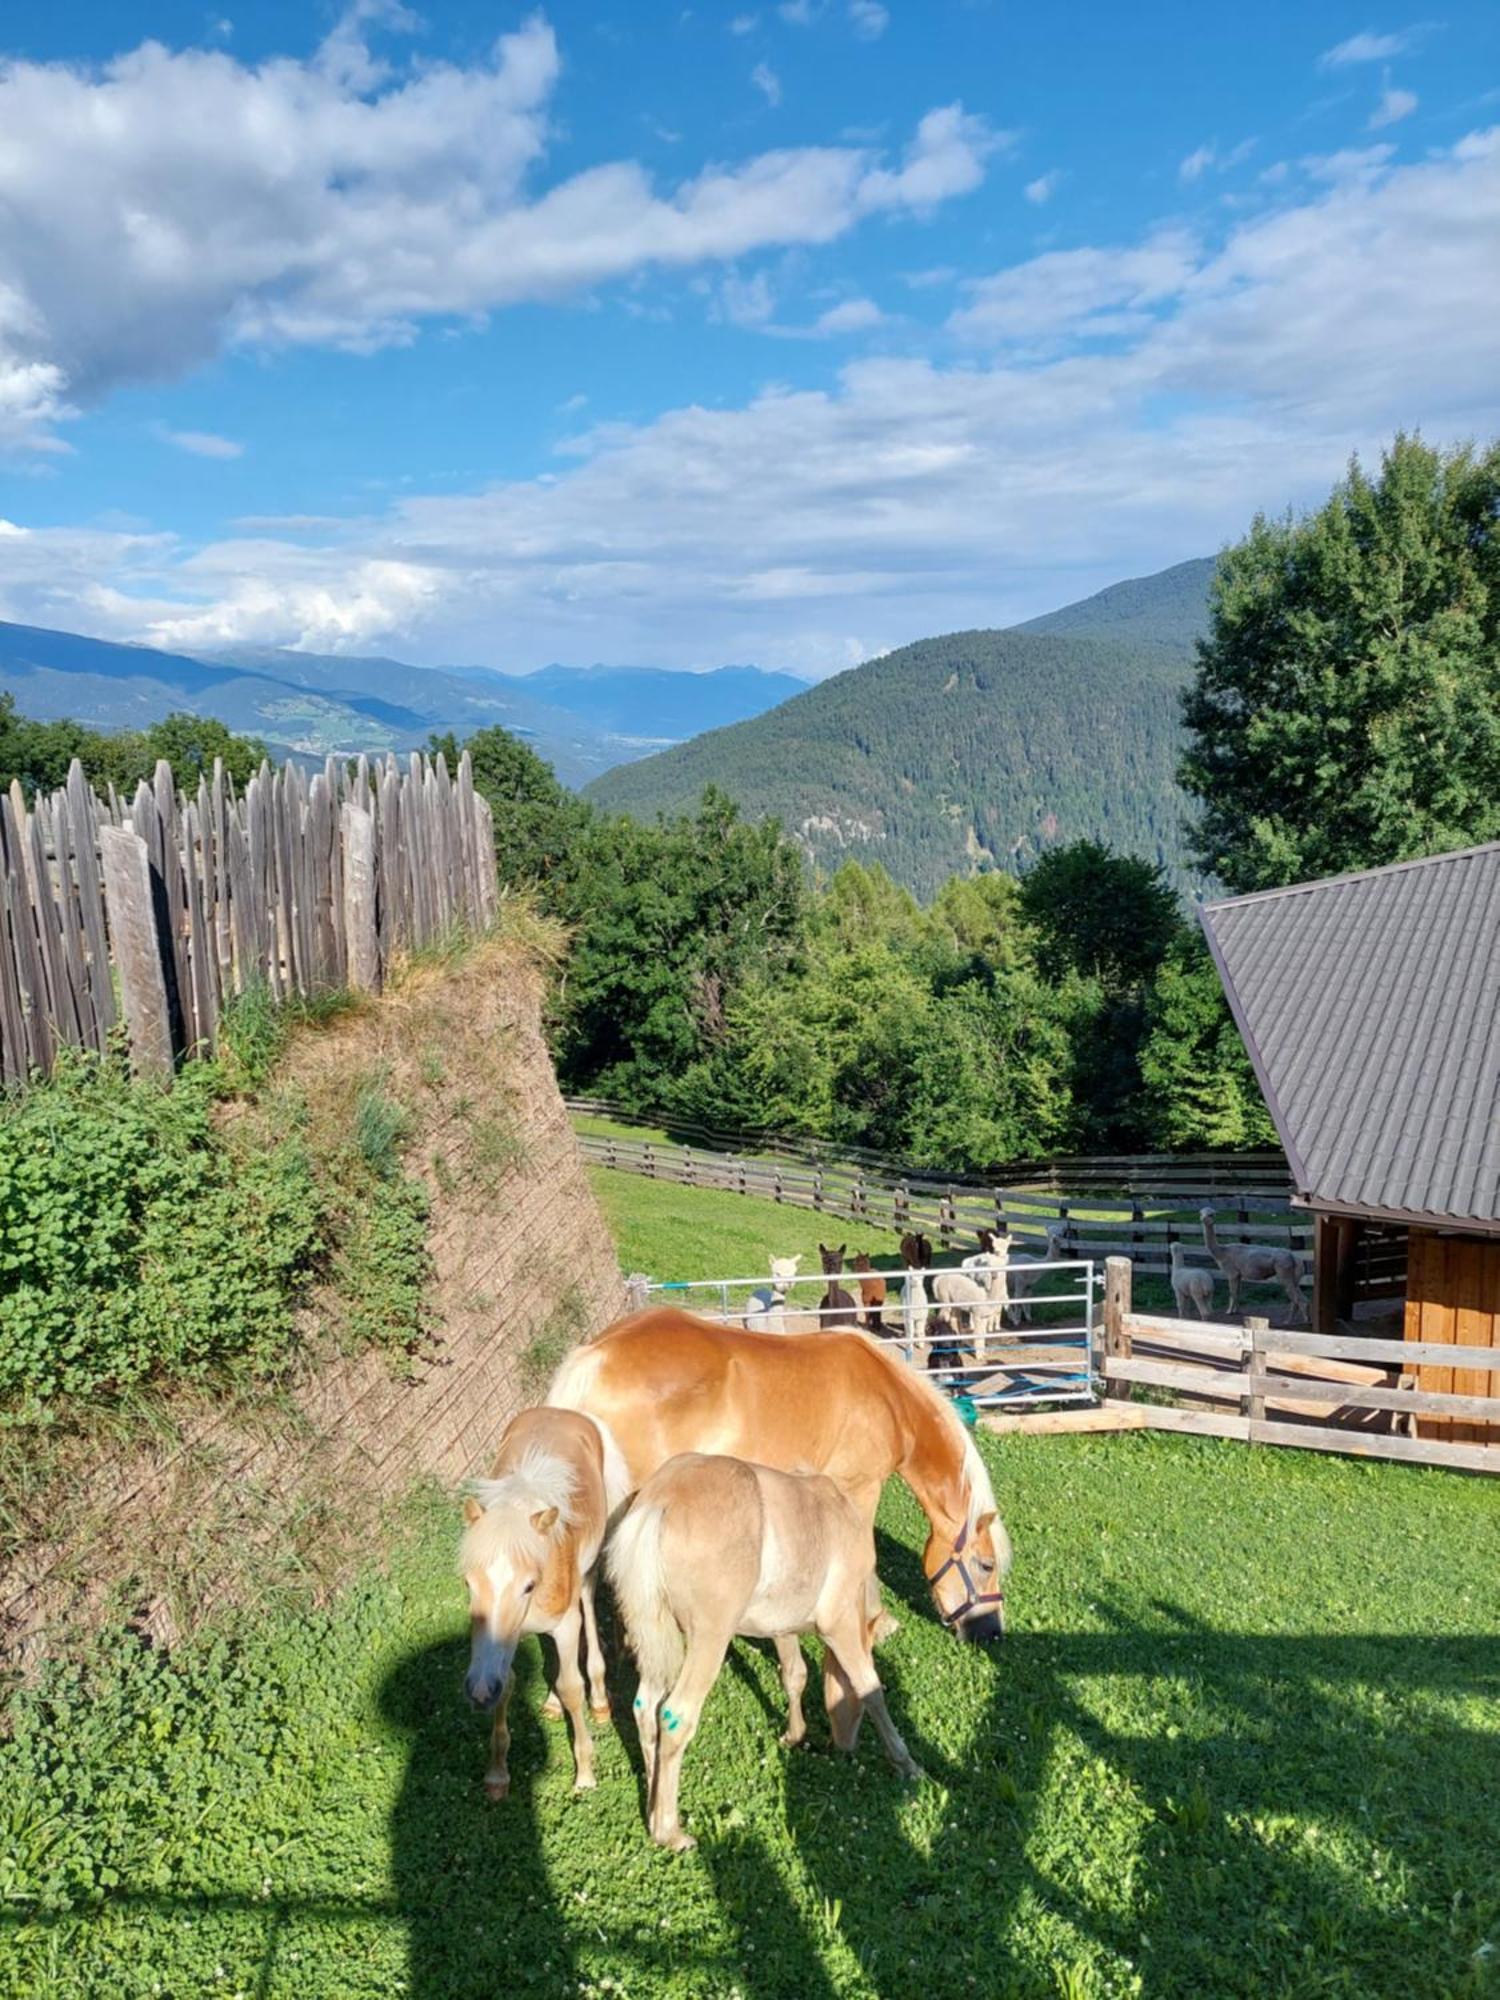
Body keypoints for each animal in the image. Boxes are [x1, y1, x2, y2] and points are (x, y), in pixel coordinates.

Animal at [548, 1304, 1016, 1648]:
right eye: (986, 1564)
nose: (992, 1633)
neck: (889, 1399)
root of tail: (596, 1354)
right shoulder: (859, 1489)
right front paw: (875, 1621)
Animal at [608, 1448, 916, 1848]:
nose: (845, 1745)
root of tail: (661, 1499)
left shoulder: (780, 1627)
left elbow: (795, 1675)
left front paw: (794, 1734)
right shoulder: (840, 1626)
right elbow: (870, 1687)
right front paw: (907, 1763)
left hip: (658, 1641)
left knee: (645, 1708)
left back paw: (653, 1804)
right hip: (709, 1640)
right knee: (675, 1716)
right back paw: (669, 1830)